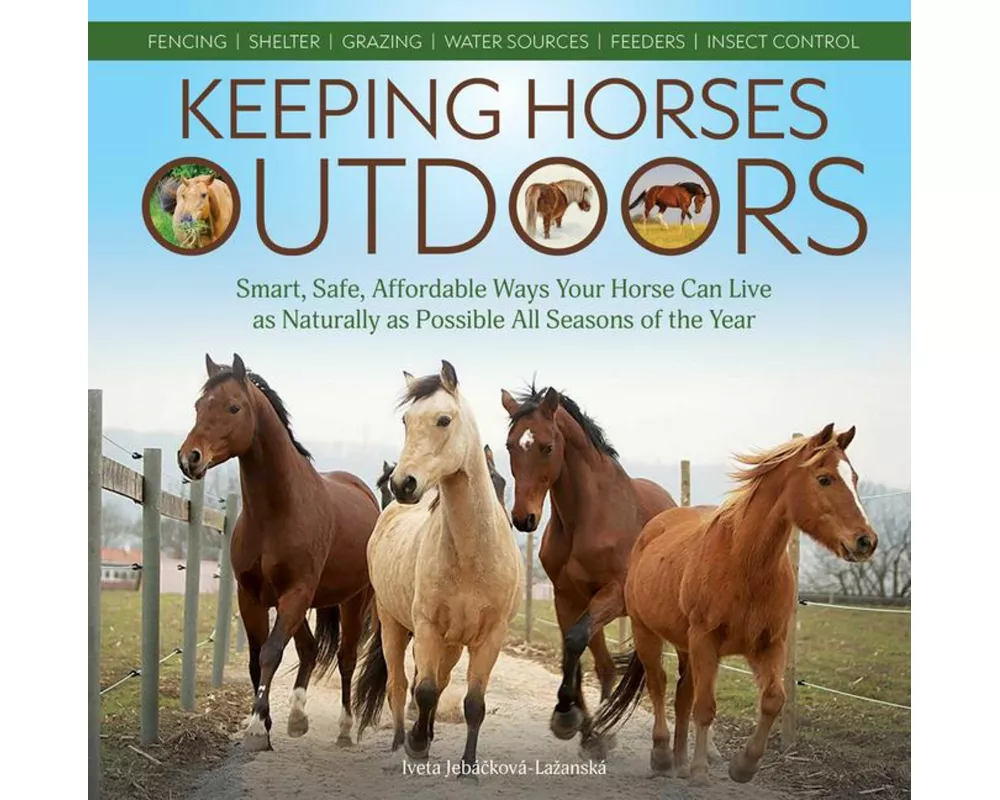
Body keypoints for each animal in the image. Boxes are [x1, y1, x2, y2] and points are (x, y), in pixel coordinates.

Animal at [177, 353, 379, 751]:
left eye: (233, 406)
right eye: (198, 406)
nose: (189, 457)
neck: (277, 512)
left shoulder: (294, 593)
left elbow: (271, 653)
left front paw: (257, 728)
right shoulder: (251, 596)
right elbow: (257, 659)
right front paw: (266, 723)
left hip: (353, 601)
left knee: (346, 658)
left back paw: (345, 730)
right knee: (310, 649)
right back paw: (298, 717)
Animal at [354, 361, 522, 769]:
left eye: (443, 419)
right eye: (406, 420)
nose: (403, 483)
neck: (471, 556)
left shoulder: (488, 638)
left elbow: (472, 703)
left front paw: (468, 766)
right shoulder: (427, 627)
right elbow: (424, 690)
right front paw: (416, 745)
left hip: (452, 643)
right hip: (393, 626)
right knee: (399, 685)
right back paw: (401, 740)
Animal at [500, 383, 721, 757]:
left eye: (547, 447)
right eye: (510, 445)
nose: (523, 517)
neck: (589, 516)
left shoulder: (614, 595)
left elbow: (575, 641)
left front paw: (567, 715)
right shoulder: (568, 597)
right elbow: (575, 649)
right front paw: (586, 728)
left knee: (687, 682)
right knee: (608, 666)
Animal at [591, 424, 879, 786]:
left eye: (853, 477)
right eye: (824, 478)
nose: (866, 541)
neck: (743, 563)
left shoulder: (768, 645)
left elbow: (772, 700)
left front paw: (743, 766)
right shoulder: (705, 641)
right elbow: (705, 707)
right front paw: (701, 771)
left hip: (685, 647)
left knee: (682, 695)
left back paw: (680, 760)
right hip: (649, 634)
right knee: (659, 685)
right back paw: (662, 756)